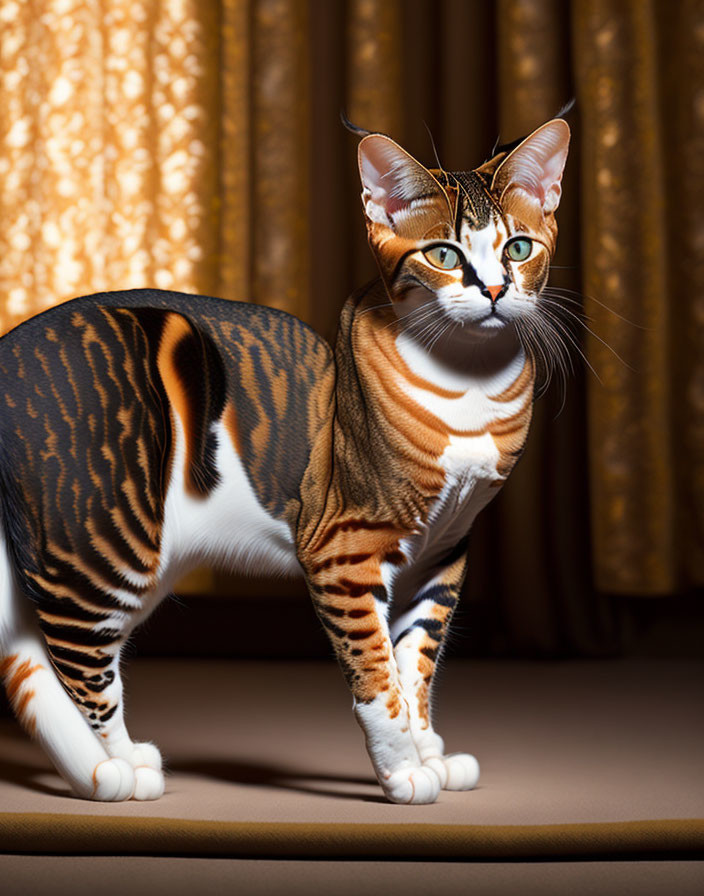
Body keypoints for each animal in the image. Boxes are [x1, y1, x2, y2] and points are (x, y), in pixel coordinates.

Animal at [0, 115, 568, 808]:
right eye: (444, 255)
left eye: (518, 249)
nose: (493, 290)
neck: (472, 391)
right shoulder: (344, 551)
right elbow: (377, 672)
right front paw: (402, 770)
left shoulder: (442, 552)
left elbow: (416, 664)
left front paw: (429, 749)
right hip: (106, 536)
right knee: (72, 655)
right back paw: (113, 770)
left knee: (25, 648)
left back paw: (101, 766)